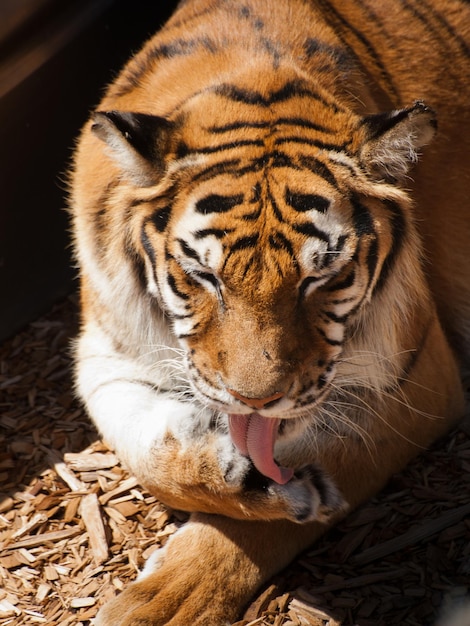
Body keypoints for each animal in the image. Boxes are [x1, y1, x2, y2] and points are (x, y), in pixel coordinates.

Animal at [70, 0, 470, 620]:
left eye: (320, 276)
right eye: (205, 275)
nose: (255, 400)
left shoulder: (415, 377)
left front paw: (165, 601)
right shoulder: (107, 359)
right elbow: (150, 459)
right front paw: (238, 476)